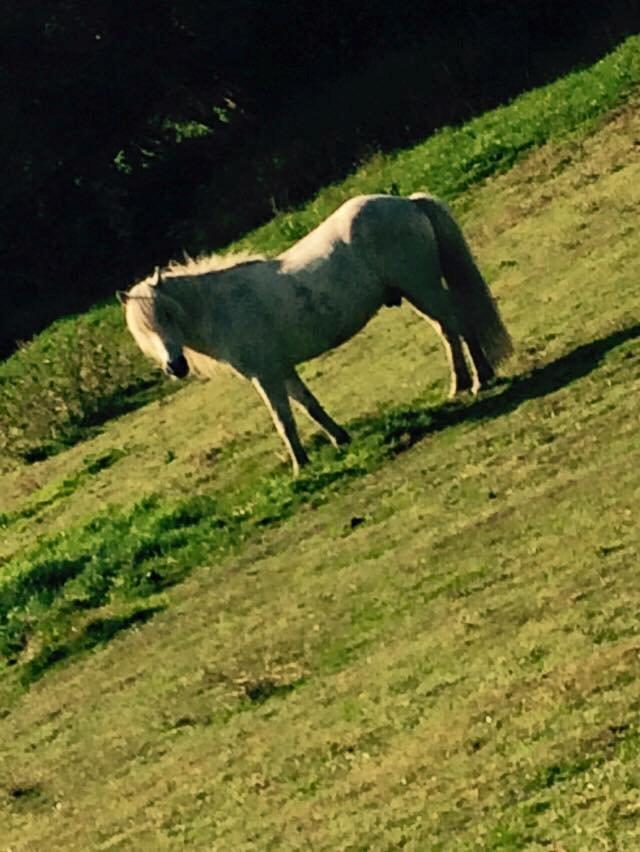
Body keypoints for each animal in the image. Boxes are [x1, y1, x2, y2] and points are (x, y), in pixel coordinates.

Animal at [119, 192, 510, 472]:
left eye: (167, 315)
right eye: (142, 332)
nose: (176, 367)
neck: (223, 306)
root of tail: (407, 203)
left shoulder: (266, 376)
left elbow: (284, 421)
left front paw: (300, 466)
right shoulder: (281, 370)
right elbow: (309, 407)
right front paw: (340, 439)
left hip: (423, 288)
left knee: (460, 324)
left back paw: (480, 380)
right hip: (419, 293)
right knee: (447, 331)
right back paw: (459, 386)